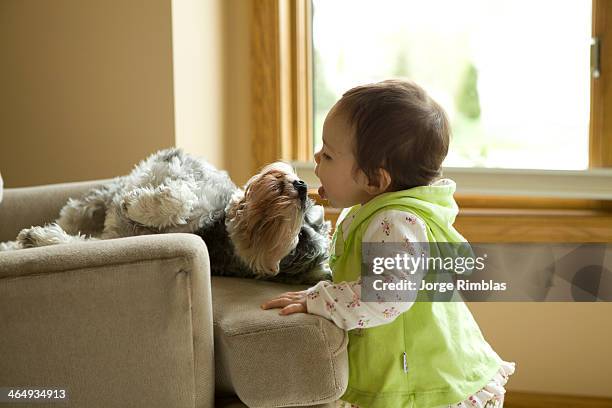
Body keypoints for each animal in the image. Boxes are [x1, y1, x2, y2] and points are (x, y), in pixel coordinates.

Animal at [0, 148, 332, 286]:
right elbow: (184, 194)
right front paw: (138, 203)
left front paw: (39, 239)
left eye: (300, 240)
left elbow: (78, 244)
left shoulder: (112, 239)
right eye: (307, 222)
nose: (303, 187)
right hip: (87, 204)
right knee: (72, 216)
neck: (219, 230)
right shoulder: (199, 183)